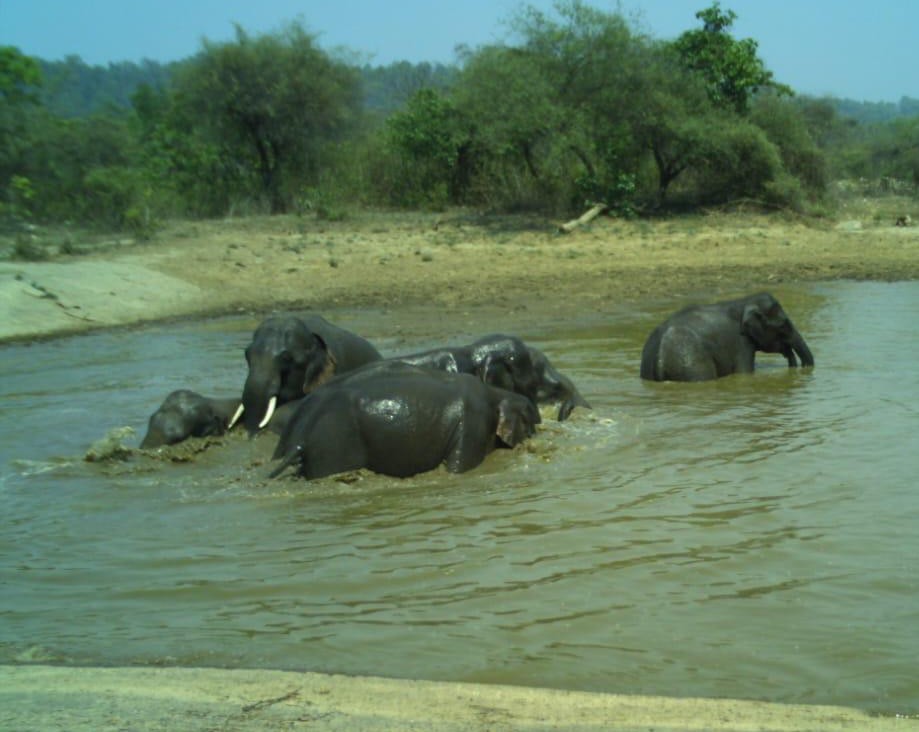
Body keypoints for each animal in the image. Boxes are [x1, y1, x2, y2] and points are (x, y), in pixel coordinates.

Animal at [270, 361, 541, 480]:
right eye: (532, 426)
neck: (498, 394)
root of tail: (301, 438)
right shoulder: (473, 425)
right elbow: (457, 469)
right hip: (334, 447)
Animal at [639, 292, 814, 382]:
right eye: (783, 325)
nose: (799, 367)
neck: (744, 302)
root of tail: (660, 358)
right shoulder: (741, 342)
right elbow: (744, 372)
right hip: (692, 365)